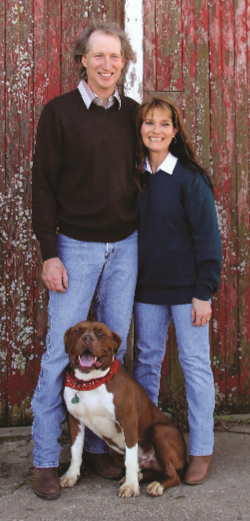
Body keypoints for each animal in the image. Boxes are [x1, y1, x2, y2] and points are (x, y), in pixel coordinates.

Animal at [59, 318, 187, 498]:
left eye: (101, 334)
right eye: (77, 331)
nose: (87, 338)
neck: (90, 382)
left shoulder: (129, 421)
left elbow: (131, 458)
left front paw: (131, 486)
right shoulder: (74, 420)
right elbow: (75, 451)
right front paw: (71, 475)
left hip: (160, 432)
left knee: (172, 475)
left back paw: (156, 485)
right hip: (119, 455)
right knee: (150, 470)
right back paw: (139, 476)